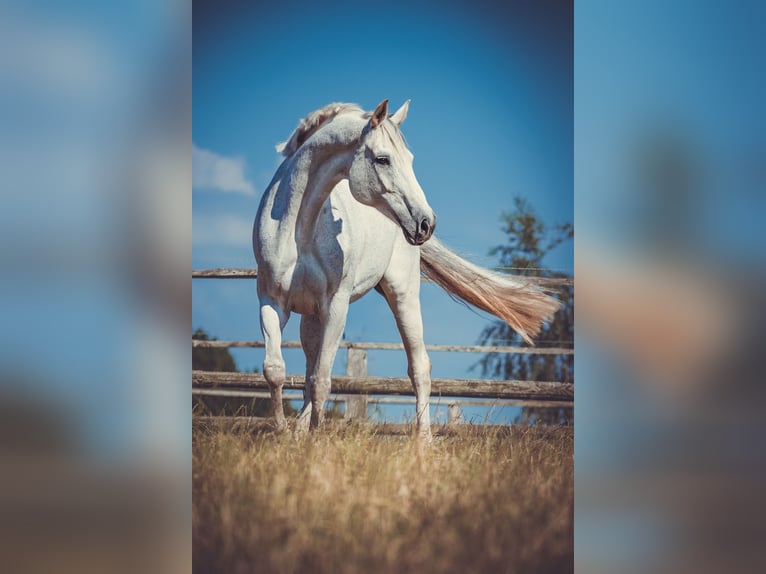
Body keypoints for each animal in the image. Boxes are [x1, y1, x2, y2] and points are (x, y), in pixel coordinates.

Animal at [255, 100, 560, 440]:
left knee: (419, 367)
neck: (299, 227)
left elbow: (321, 380)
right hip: (311, 314)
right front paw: (283, 432)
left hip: (403, 295)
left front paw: (315, 442)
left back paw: (423, 441)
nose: (426, 223)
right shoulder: (272, 302)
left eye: (410, 159)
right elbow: (276, 370)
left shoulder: (336, 305)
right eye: (382, 159)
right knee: (309, 363)